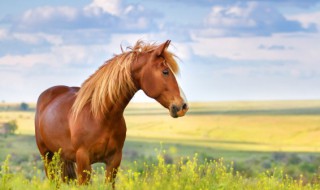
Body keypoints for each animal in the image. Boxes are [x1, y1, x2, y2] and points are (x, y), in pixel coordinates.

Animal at [34, 39, 189, 184]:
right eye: (165, 72)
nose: (183, 106)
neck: (100, 116)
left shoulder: (114, 161)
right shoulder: (83, 161)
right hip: (47, 157)